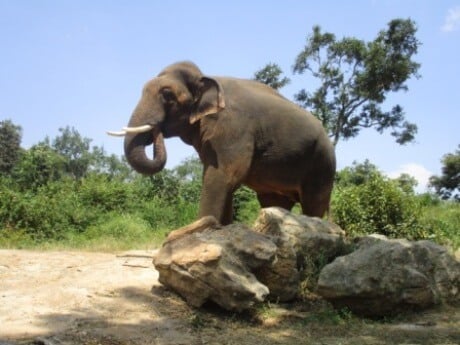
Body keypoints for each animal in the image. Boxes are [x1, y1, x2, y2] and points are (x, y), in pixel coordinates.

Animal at [109, 60, 336, 224]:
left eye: (167, 95)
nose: (156, 129)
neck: (206, 78)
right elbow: (219, 179)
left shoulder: (233, 128)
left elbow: (224, 176)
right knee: (273, 202)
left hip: (322, 162)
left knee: (313, 203)